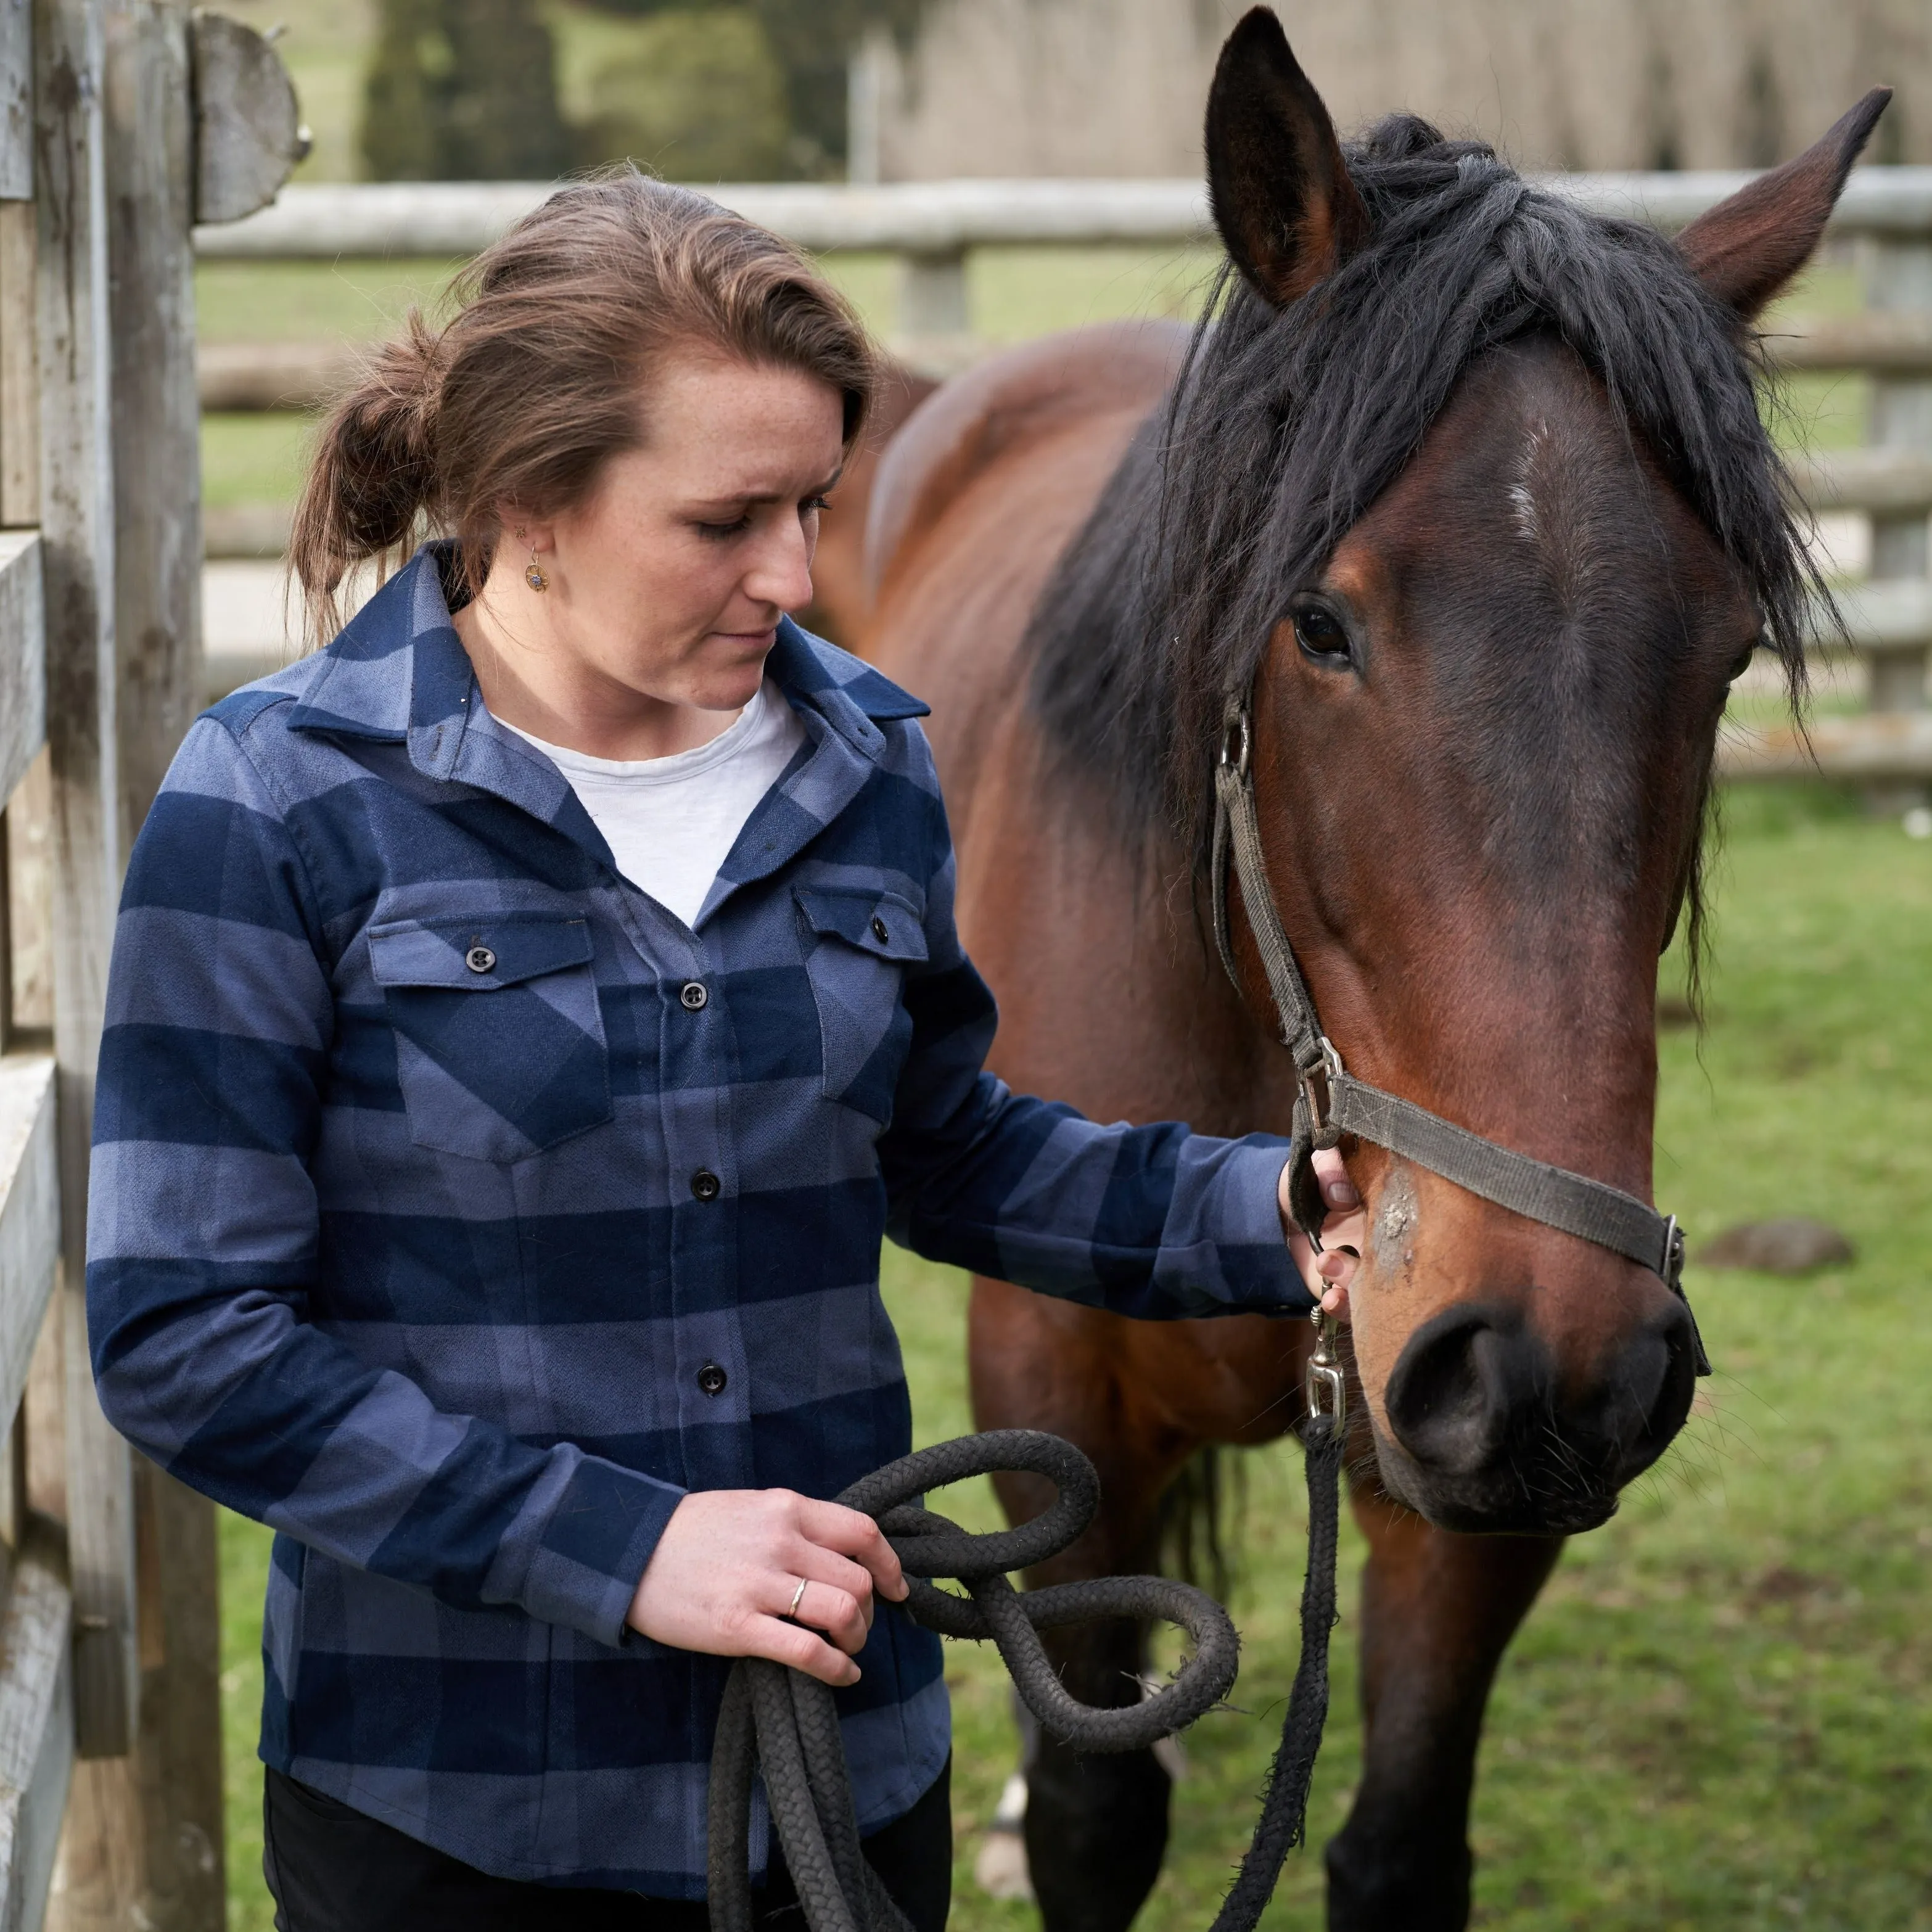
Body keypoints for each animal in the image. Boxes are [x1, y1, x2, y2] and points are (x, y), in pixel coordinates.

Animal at [861, 15, 1885, 1932]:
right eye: (1318, 623)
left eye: (1719, 657)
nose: (1558, 1357)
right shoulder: (1048, 1394)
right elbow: (1090, 1813)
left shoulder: (1465, 1479)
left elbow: (1397, 1846)